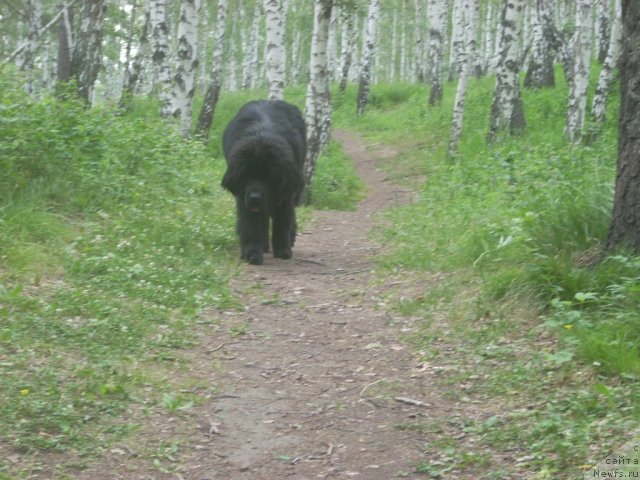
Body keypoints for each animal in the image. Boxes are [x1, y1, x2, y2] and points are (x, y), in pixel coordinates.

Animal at [222, 101, 308, 264]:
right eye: (246, 175)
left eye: (269, 177)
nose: (255, 197)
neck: (260, 135)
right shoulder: (244, 199)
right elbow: (251, 225)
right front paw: (252, 253)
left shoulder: (284, 194)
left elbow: (282, 223)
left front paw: (282, 251)